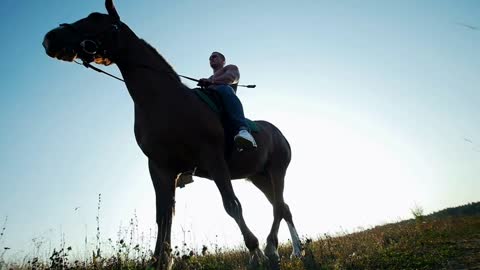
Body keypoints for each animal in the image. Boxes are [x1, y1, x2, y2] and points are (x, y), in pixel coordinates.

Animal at [43, 1, 302, 268]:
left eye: (95, 18)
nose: (50, 38)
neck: (166, 102)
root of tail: (279, 134)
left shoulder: (213, 159)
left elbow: (232, 206)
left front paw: (254, 251)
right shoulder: (160, 169)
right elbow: (163, 216)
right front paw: (160, 260)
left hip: (277, 171)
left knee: (278, 208)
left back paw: (272, 248)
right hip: (259, 177)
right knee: (283, 207)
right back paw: (289, 250)